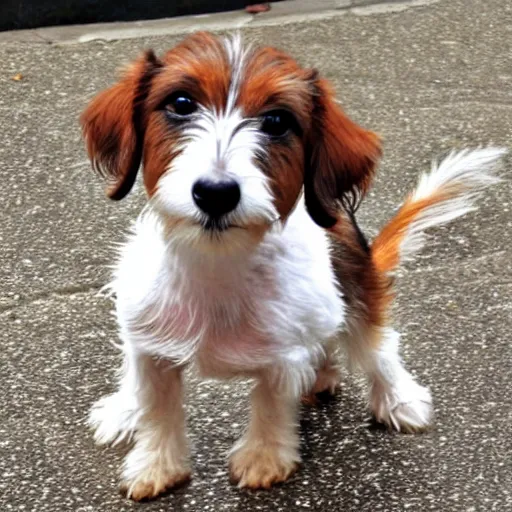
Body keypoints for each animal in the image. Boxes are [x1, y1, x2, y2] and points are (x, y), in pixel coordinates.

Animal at [82, 32, 506, 500]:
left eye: (277, 121)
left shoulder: (283, 356)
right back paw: (125, 408)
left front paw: (263, 458)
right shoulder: (151, 351)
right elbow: (157, 409)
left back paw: (397, 399)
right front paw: (157, 464)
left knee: (378, 349)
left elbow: (270, 404)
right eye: (180, 103)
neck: (218, 262)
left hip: (355, 294)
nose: (216, 193)